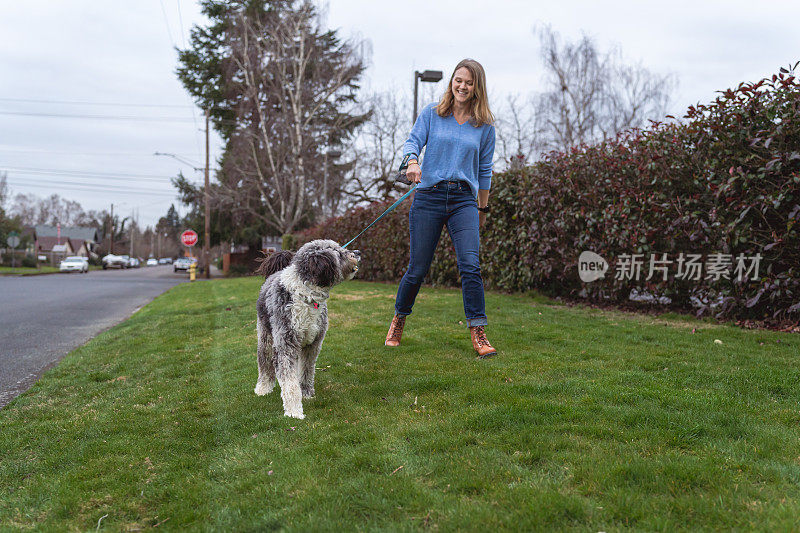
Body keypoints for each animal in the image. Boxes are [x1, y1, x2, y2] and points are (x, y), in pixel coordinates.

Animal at [255, 241, 360, 420]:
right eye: (339, 253)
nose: (358, 252)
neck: (307, 296)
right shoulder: (286, 346)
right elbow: (289, 383)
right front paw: (294, 411)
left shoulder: (313, 344)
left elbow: (306, 370)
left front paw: (306, 393)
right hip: (266, 336)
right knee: (264, 362)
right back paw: (263, 388)